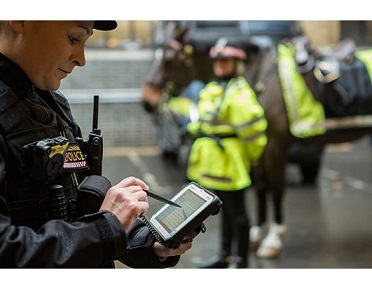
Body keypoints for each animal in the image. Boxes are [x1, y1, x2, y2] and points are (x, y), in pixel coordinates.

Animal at [140, 21, 372, 258]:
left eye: (169, 59)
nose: (147, 101)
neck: (260, 77)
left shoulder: (276, 146)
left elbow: (276, 189)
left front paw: (273, 240)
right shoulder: (261, 149)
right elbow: (261, 187)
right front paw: (257, 234)